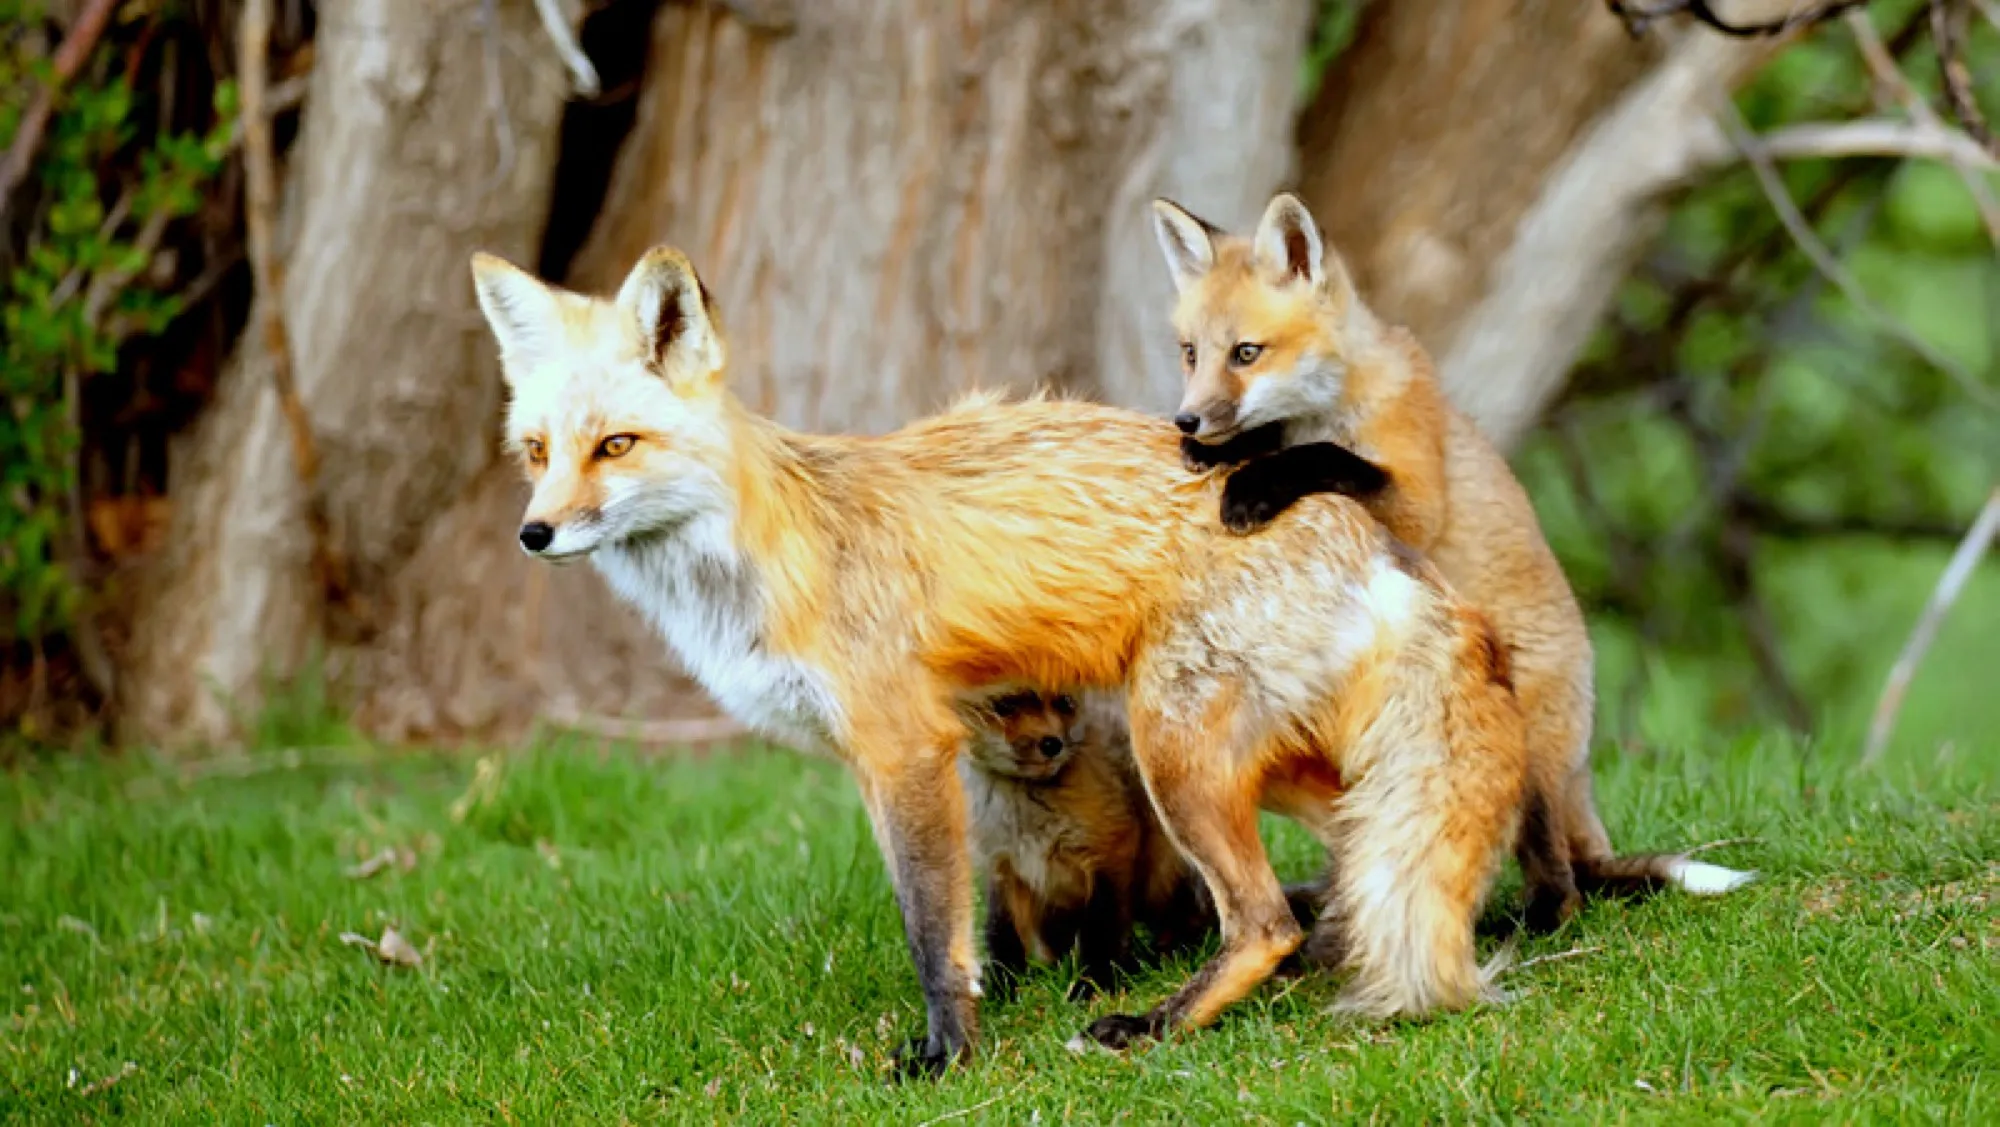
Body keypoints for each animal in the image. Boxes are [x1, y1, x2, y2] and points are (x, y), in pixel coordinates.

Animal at [470, 243, 1529, 1076]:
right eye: (539, 450)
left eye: (616, 445)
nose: (534, 533)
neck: (765, 559)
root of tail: (1373, 536)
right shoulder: (884, 761)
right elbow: (964, 918)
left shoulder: (905, 748)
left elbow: (932, 931)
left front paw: (948, 1054)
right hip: (1273, 767)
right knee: (1357, 867)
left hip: (1176, 757)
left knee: (1268, 919)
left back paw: (1156, 1022)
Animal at [1149, 191, 1757, 931]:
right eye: (1190, 353)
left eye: (1246, 353)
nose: (1186, 420)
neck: (1330, 404)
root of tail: (1582, 761)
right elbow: (1277, 443)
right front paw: (1224, 454)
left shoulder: (1413, 498)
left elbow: (1323, 458)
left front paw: (1250, 486)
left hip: (1522, 756)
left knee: (1564, 883)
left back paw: (1528, 923)